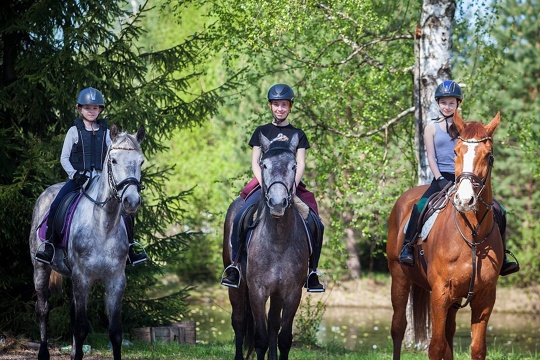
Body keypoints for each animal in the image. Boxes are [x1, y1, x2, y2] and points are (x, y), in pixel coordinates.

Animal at [28, 124, 144, 360]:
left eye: (141, 162)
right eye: (113, 160)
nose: (131, 201)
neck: (103, 227)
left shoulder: (116, 280)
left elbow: (115, 332)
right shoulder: (82, 277)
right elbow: (81, 327)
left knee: (72, 315)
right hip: (41, 269)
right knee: (43, 309)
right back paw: (43, 352)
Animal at [223, 134, 308, 358]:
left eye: (294, 166)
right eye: (264, 164)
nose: (278, 203)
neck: (278, 241)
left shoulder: (291, 292)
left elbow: (283, 337)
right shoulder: (257, 291)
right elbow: (259, 338)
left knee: (273, 324)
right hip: (237, 285)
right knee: (239, 321)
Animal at [386, 112, 504, 360]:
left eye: (488, 155)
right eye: (456, 151)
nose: (465, 200)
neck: (472, 235)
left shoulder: (485, 296)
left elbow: (476, 348)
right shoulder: (440, 294)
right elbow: (437, 346)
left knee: (449, 332)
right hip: (399, 277)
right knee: (398, 327)